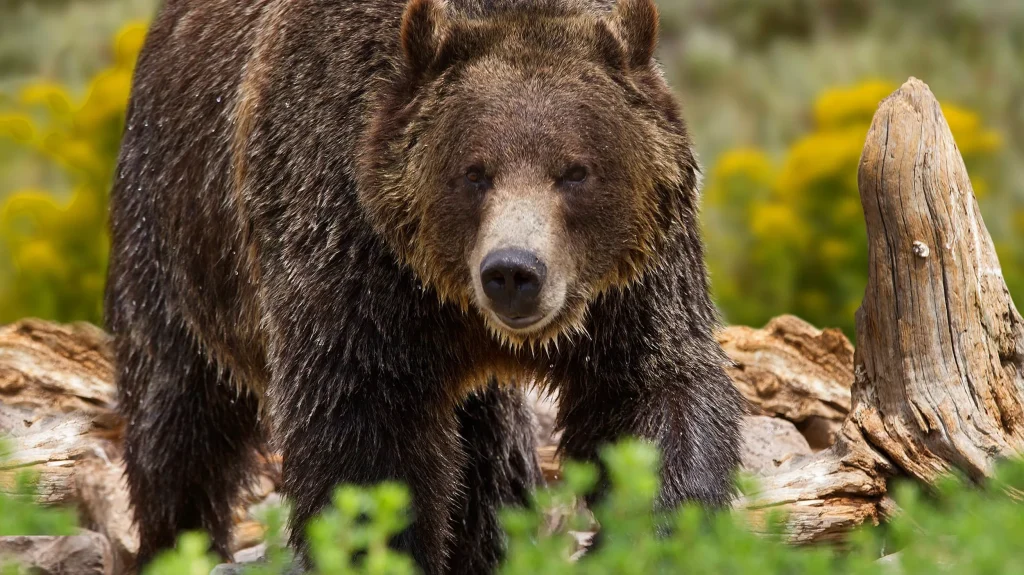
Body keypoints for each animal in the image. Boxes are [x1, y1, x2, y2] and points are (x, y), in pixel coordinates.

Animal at [105, 0, 743, 573]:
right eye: (475, 172)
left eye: (575, 171)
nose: (513, 272)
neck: (451, 300)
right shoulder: (353, 252)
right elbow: (364, 434)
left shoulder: (632, 284)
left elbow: (648, 394)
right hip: (177, 232)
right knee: (177, 418)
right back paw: (178, 543)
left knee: (490, 455)